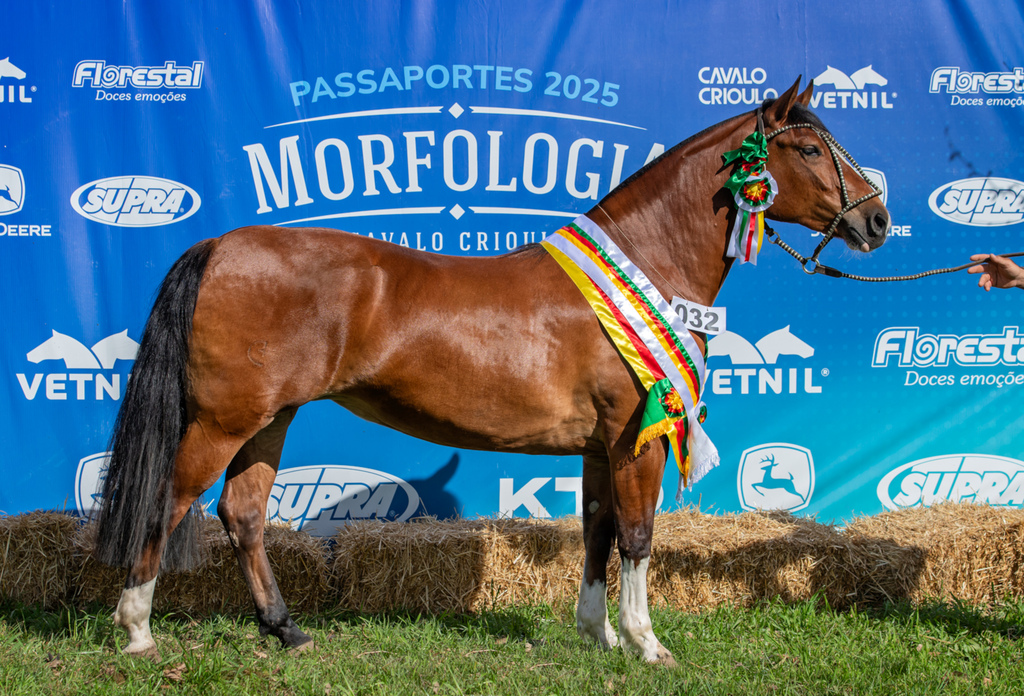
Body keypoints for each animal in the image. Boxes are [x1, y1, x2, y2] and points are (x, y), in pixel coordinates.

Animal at [94, 78, 888, 667]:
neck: (644, 267)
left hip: (271, 417)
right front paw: (647, 644)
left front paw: (597, 635)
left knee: (244, 513)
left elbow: (597, 529)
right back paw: (137, 630)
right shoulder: (636, 441)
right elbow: (637, 536)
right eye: (809, 147)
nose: (877, 220)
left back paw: (286, 629)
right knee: (167, 503)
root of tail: (220, 246)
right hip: (224, 419)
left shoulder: (599, 447)